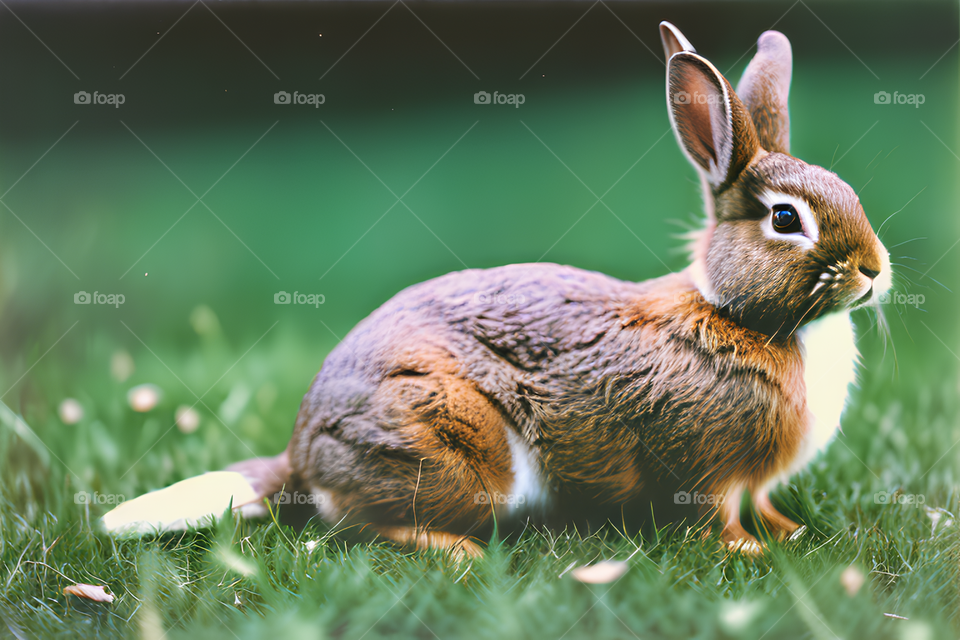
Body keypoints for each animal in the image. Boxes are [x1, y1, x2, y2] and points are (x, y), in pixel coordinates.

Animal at [105, 22, 891, 557]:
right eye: (785, 219)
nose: (875, 269)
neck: (740, 315)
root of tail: (302, 452)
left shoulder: (752, 480)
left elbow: (765, 504)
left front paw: (788, 534)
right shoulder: (705, 469)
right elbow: (712, 517)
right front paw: (749, 551)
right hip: (452, 450)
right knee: (366, 527)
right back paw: (459, 553)